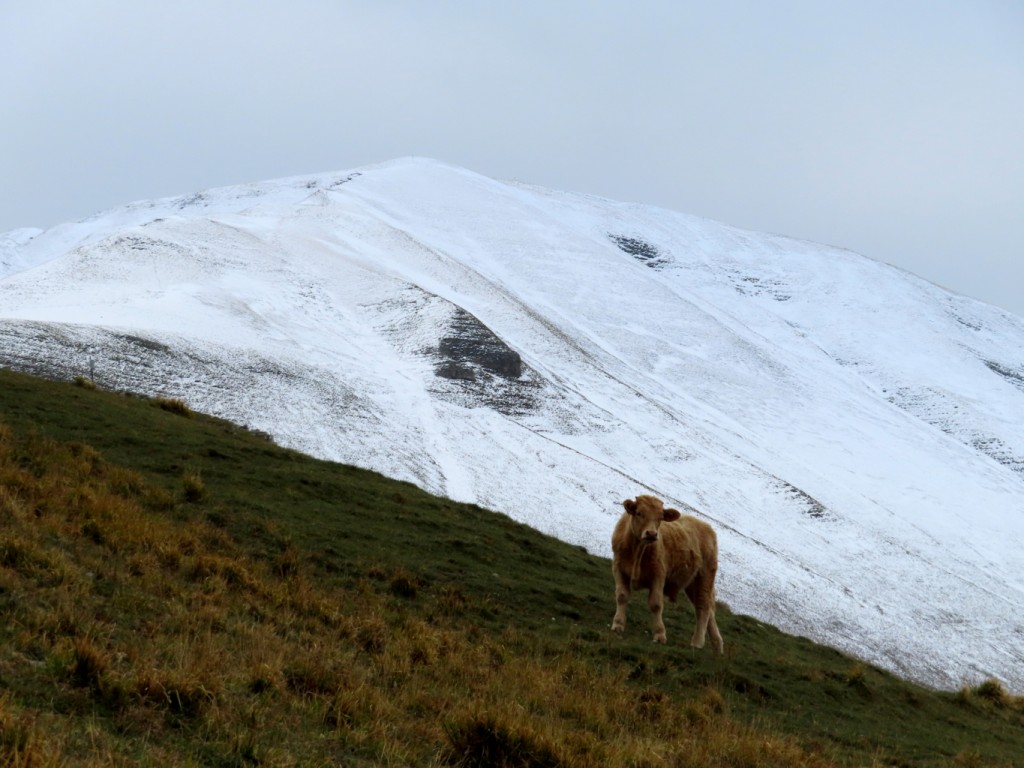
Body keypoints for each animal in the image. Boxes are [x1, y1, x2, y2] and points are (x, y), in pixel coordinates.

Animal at [610, 495, 724, 651]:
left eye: (660, 517)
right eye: (639, 513)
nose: (652, 534)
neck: (638, 552)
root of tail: (706, 526)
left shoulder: (658, 575)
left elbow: (656, 604)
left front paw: (659, 634)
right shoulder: (619, 568)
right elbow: (622, 596)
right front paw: (618, 624)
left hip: (705, 577)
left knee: (703, 606)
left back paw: (697, 642)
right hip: (692, 583)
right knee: (707, 609)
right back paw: (717, 645)